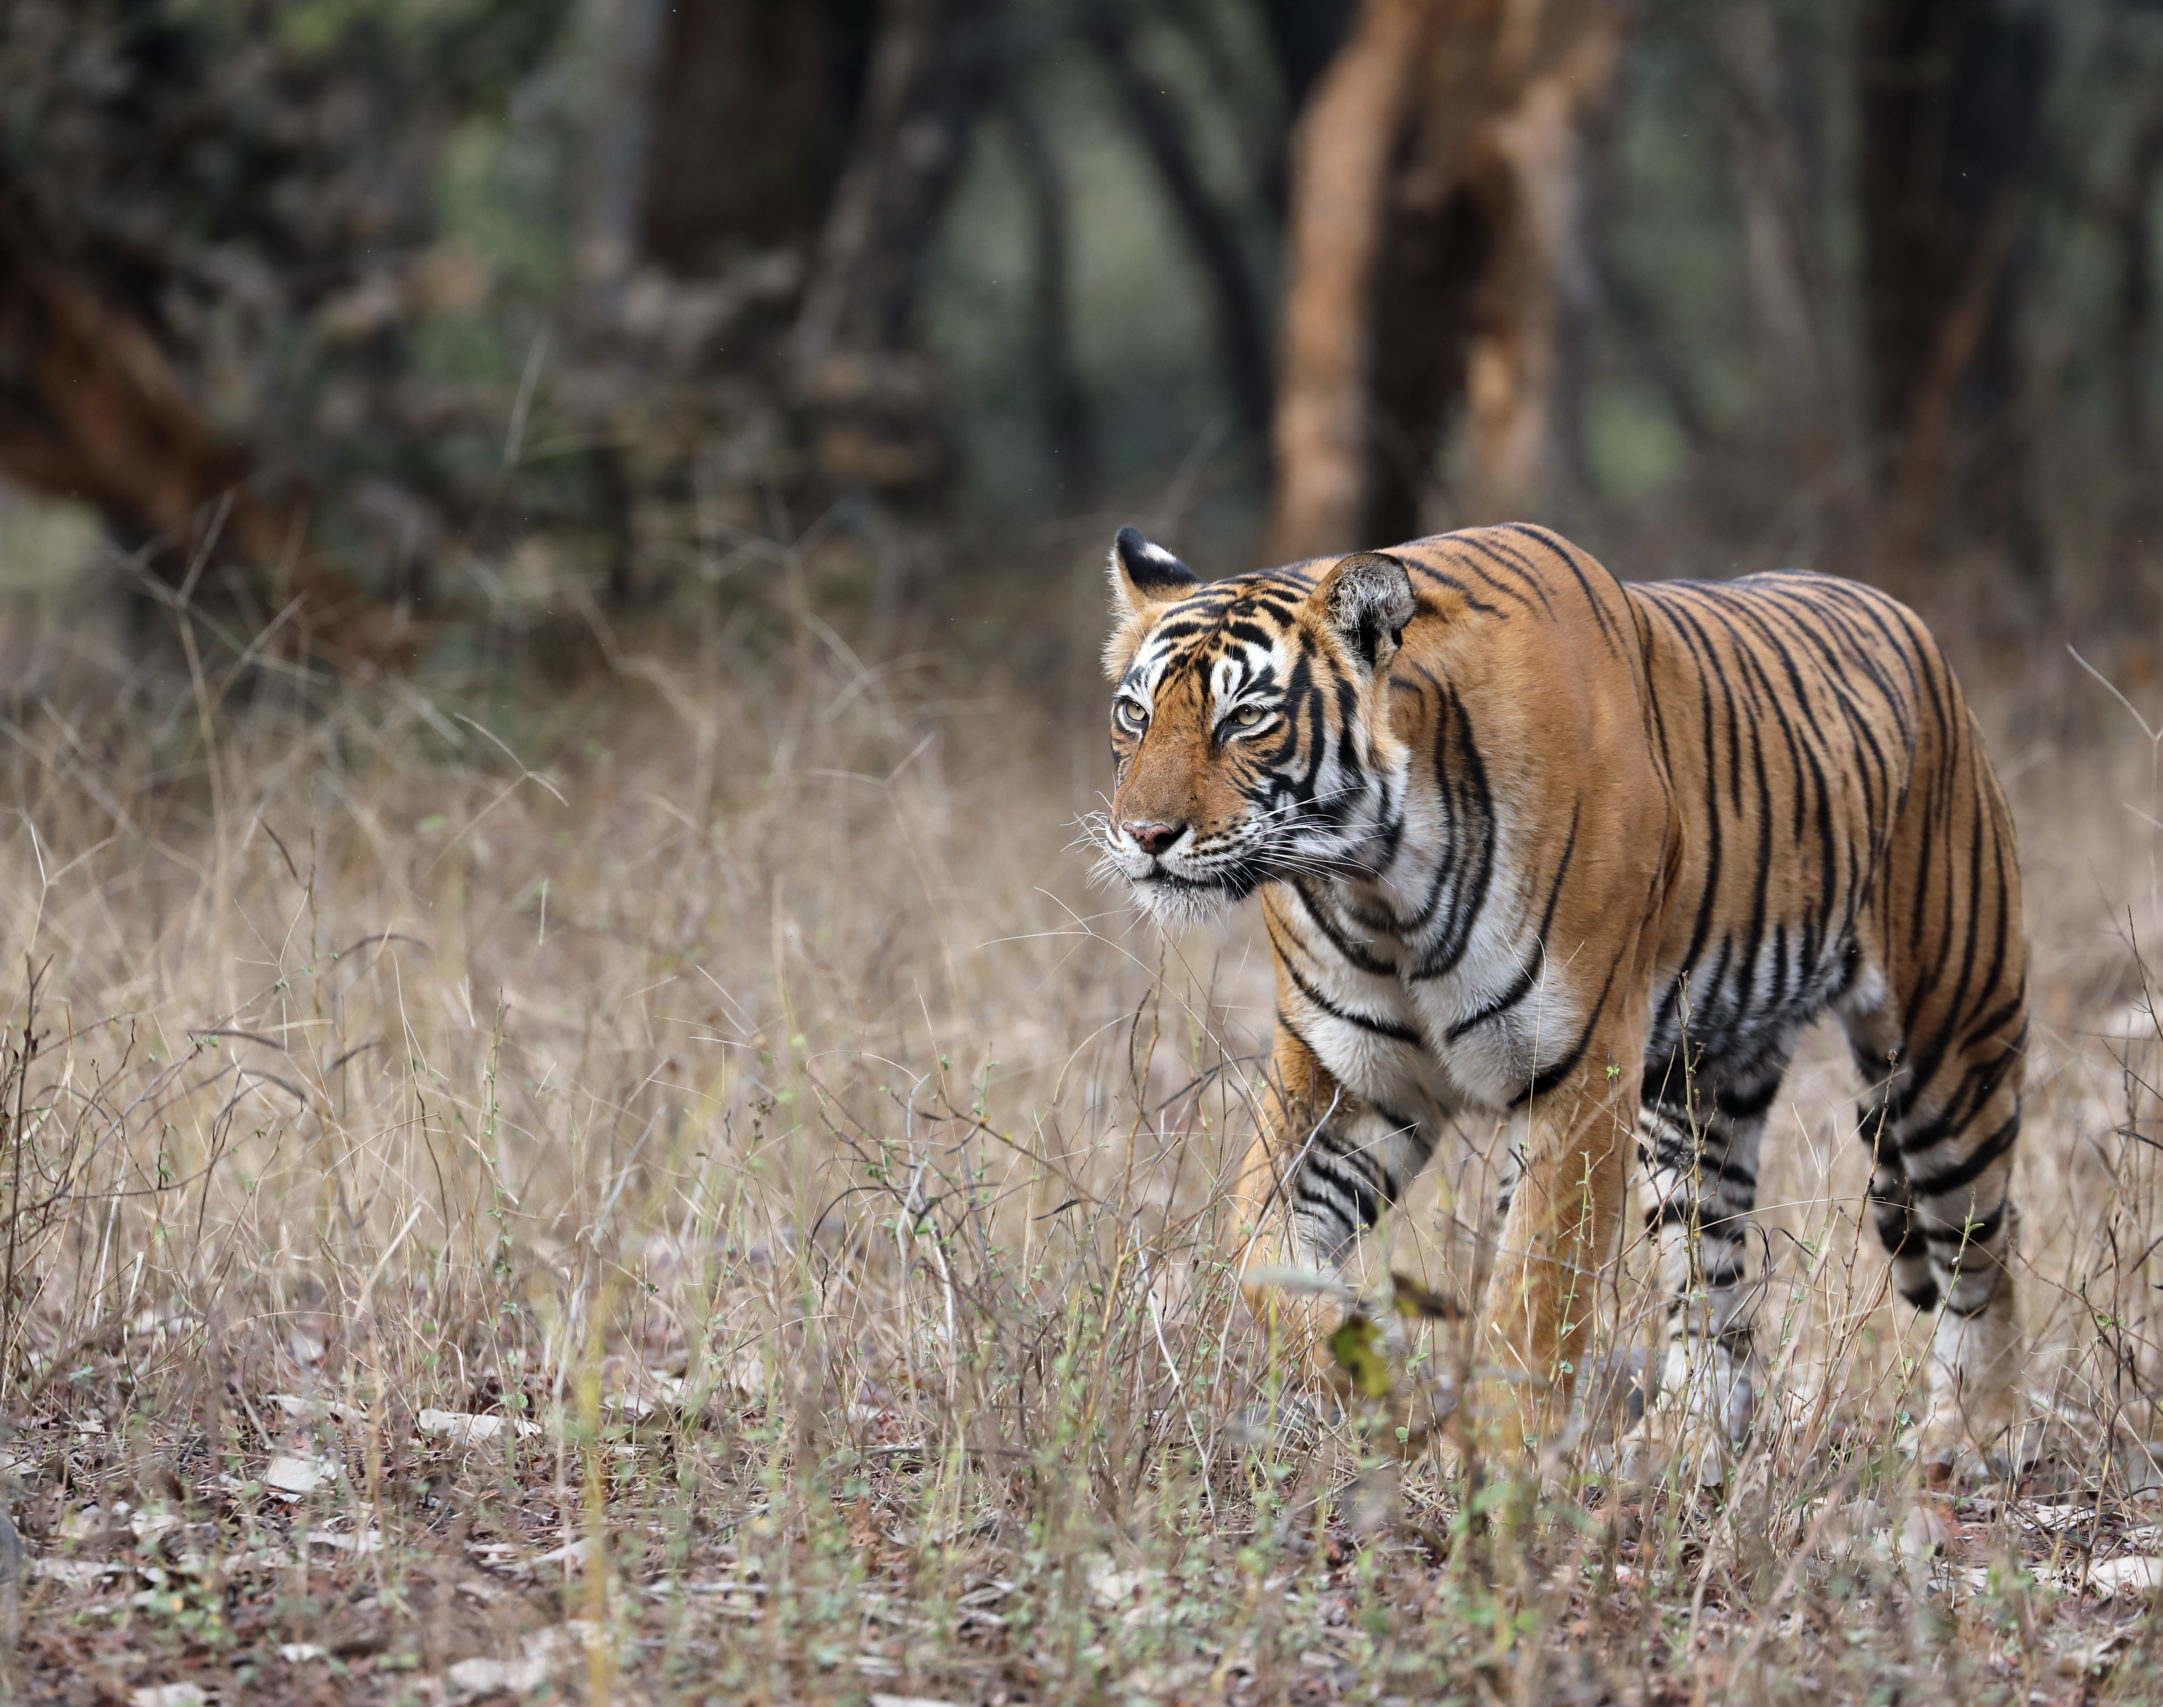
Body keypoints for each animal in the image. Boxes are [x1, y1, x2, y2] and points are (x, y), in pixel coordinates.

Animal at [1098, 519, 2024, 1479]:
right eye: (1134, 713)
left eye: (1245, 717)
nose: (1143, 835)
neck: (1375, 879)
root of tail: (1903, 619)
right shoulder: (1350, 1079)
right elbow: (1256, 1251)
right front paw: (1384, 1364)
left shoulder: (1580, 1071)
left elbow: (1534, 1289)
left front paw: (1504, 1463)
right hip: (1695, 1097)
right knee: (1707, 1274)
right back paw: (1679, 1442)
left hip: (1947, 1049)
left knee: (1982, 1251)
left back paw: (1970, 1433)